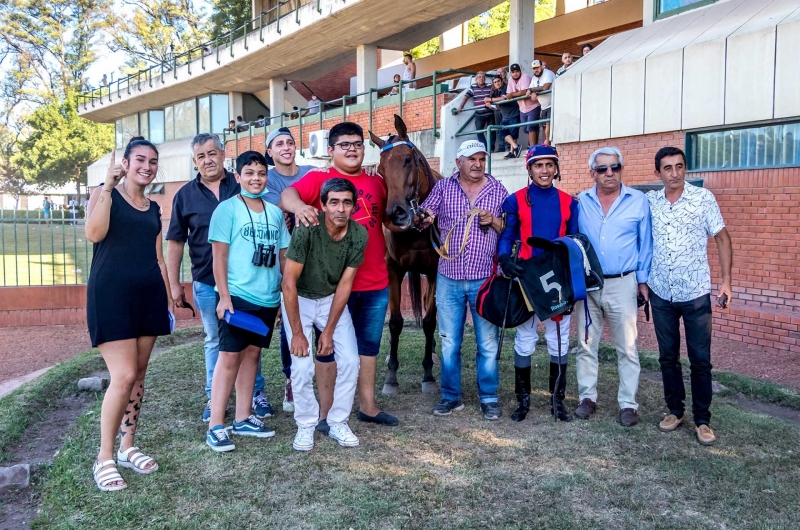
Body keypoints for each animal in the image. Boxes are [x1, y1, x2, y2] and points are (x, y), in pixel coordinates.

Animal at [370, 116, 440, 396]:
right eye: (380, 170)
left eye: (408, 160)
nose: (395, 214)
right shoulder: (394, 270)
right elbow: (396, 322)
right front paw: (391, 378)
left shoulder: (434, 272)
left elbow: (430, 321)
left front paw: (429, 376)